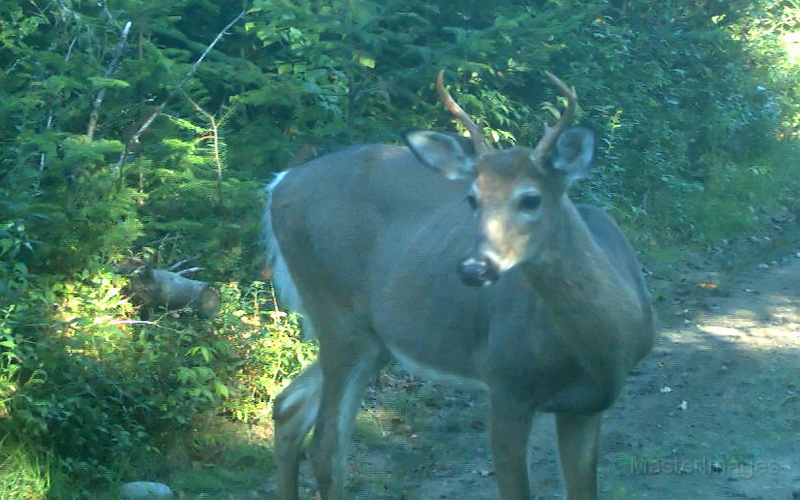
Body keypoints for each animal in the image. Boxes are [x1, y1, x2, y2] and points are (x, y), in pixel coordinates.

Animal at [266, 68, 652, 498]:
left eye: (531, 198)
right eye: (472, 199)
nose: (473, 268)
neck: (602, 347)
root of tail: (280, 182)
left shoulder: (586, 406)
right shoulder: (506, 382)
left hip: (375, 337)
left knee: (288, 407)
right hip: (337, 314)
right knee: (327, 447)